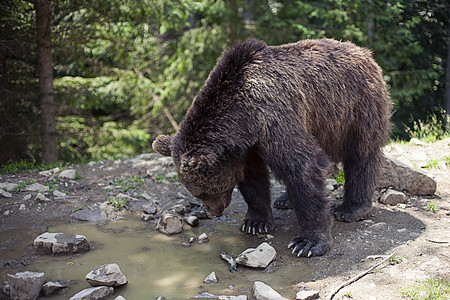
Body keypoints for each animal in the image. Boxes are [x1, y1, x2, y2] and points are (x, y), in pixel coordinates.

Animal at [151, 38, 390, 258]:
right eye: (197, 194)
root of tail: (362, 51)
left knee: (361, 155)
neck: (242, 117)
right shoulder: (247, 146)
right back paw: (285, 199)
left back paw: (351, 209)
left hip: (355, 107)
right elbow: (253, 178)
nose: (214, 212)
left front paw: (307, 243)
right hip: (323, 123)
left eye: (206, 191)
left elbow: (303, 165)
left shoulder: (274, 117)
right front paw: (255, 222)